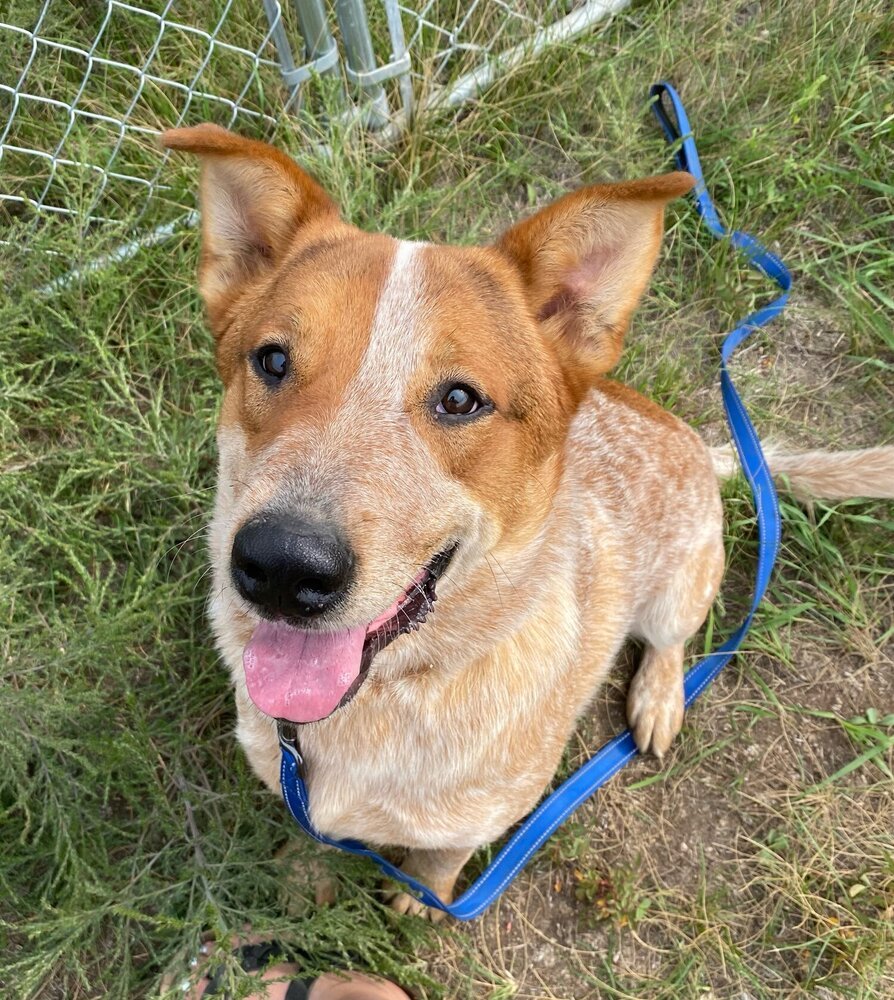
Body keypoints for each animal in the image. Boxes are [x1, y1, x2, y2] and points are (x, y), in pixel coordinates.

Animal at [161, 123, 894, 916]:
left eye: (460, 399)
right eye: (271, 359)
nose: (281, 564)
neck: (391, 694)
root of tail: (700, 444)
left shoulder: (482, 817)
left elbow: (439, 862)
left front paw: (419, 901)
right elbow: (311, 839)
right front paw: (302, 880)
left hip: (682, 585)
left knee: (672, 642)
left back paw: (659, 699)